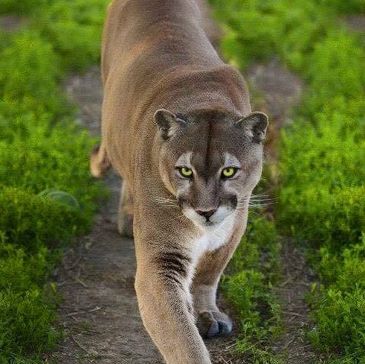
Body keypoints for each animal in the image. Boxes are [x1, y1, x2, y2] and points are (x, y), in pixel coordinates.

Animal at [90, 1, 268, 362]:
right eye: (185, 171)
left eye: (229, 171)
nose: (206, 211)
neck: (205, 99)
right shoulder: (161, 262)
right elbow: (182, 338)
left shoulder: (235, 225)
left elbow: (209, 272)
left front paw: (208, 313)